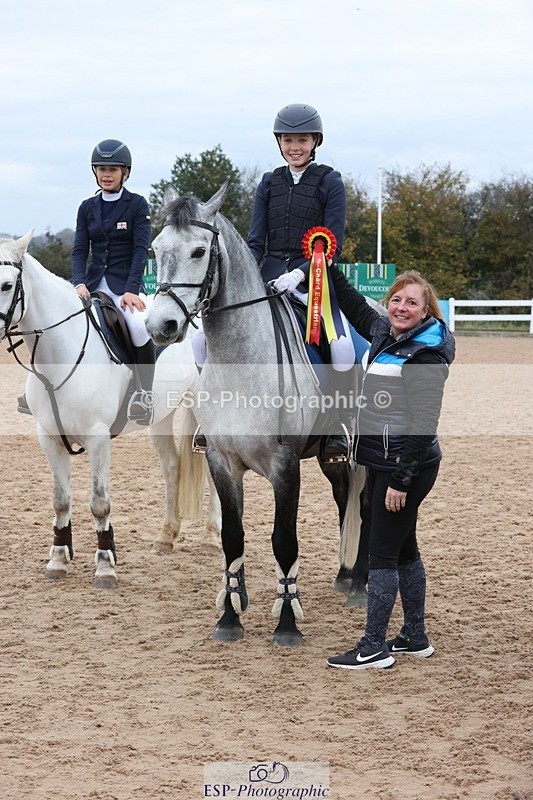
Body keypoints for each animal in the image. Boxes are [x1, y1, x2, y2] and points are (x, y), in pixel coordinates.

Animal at [0, 230, 221, 588]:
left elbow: (100, 503)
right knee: (172, 466)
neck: (60, 357)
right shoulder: (49, 437)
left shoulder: (98, 438)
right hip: (161, 417)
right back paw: (166, 536)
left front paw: (105, 566)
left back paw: (213, 537)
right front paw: (58, 560)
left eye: (7, 285)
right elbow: (60, 500)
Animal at [145, 184, 369, 647]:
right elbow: (233, 537)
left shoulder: (285, 466)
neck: (242, 361)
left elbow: (284, 540)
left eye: (199, 251)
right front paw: (229, 618)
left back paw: (359, 582)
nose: (161, 326)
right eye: (155, 249)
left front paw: (286, 624)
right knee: (345, 495)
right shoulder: (222, 462)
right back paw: (344, 575)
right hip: (332, 456)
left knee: (364, 499)